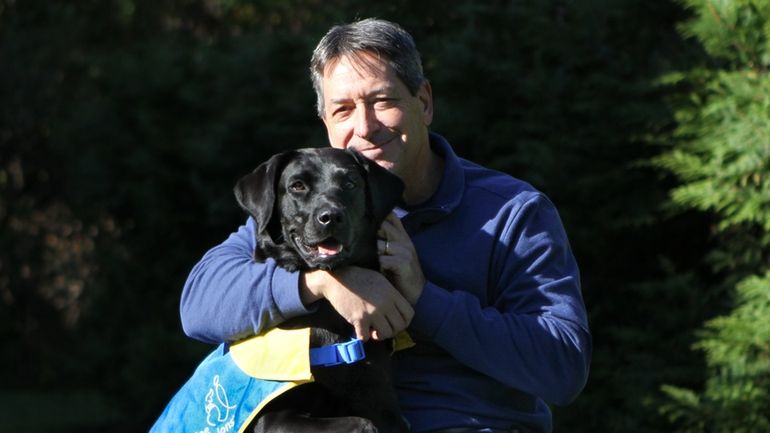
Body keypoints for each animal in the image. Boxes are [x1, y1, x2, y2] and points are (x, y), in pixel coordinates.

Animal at [232, 147, 408, 430]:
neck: (328, 312)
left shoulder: (382, 401)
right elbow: (363, 423)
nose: (331, 217)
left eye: (350, 183)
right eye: (297, 186)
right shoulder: (269, 419)